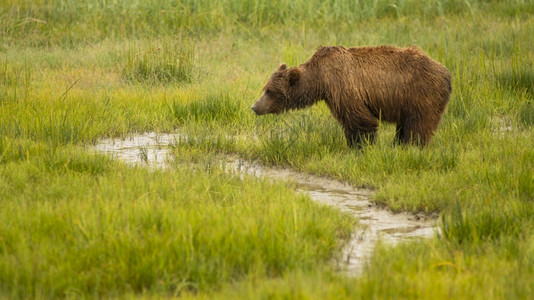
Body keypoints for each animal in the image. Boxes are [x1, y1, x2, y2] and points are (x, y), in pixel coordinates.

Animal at [253, 45, 454, 147]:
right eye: (265, 88)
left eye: (270, 91)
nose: (254, 106)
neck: (320, 79)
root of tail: (446, 73)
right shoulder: (333, 95)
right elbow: (349, 120)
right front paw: (352, 144)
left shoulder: (343, 85)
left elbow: (360, 119)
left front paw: (361, 146)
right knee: (406, 125)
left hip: (422, 94)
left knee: (418, 125)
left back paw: (411, 146)